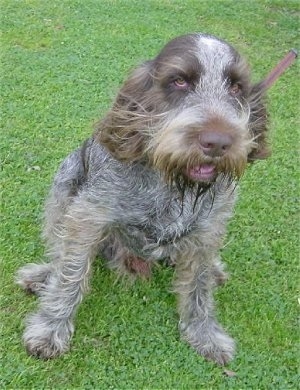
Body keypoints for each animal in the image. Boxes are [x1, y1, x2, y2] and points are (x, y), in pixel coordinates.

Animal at [15, 34, 270, 366]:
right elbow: (70, 273)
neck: (173, 182)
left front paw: (204, 333)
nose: (218, 143)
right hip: (66, 177)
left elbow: (199, 287)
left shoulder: (209, 230)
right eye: (179, 81)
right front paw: (51, 327)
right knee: (61, 251)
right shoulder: (88, 215)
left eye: (237, 87)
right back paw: (43, 275)